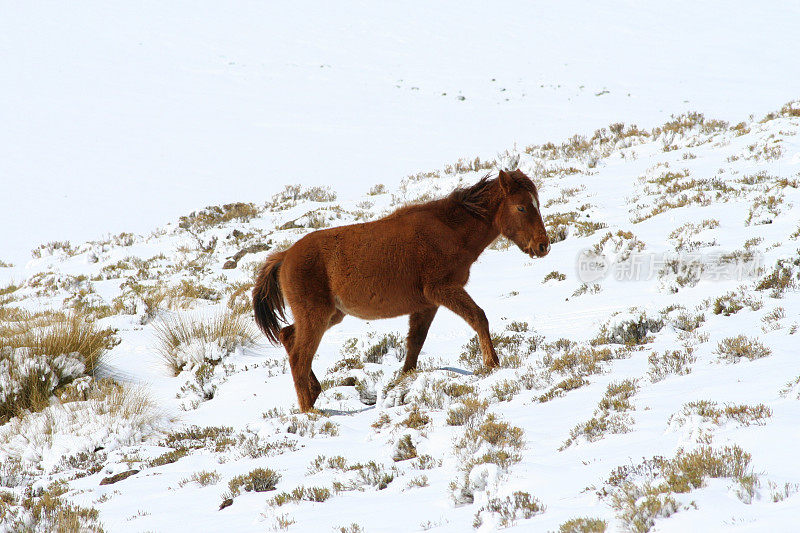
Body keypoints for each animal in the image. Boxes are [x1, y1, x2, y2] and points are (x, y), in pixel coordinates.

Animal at [253, 168, 548, 410]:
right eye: (522, 208)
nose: (543, 245)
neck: (449, 231)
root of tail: (284, 257)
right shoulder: (443, 290)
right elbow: (478, 317)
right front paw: (492, 364)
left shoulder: (427, 304)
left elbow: (414, 344)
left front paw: (401, 386)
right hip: (315, 315)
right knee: (299, 358)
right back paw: (310, 411)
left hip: (330, 315)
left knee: (288, 338)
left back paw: (314, 393)